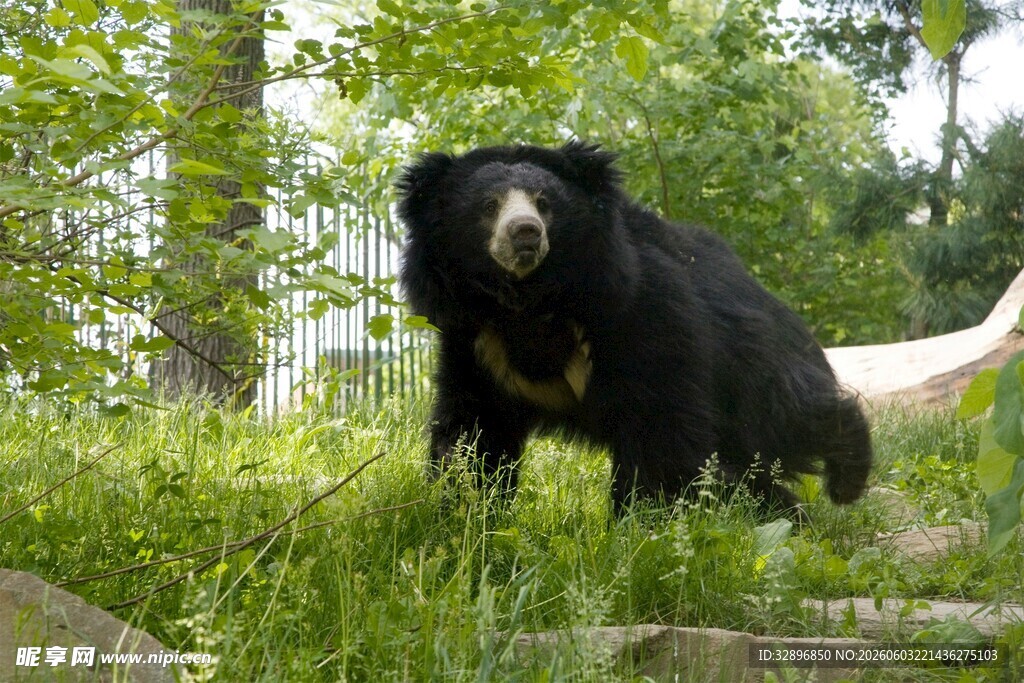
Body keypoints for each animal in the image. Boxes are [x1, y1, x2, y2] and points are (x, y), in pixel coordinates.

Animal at [396, 141, 872, 516]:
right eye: (488, 206)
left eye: (544, 202)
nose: (525, 233)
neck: (530, 303)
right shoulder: (475, 340)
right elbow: (475, 431)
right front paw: (466, 510)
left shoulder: (644, 312)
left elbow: (658, 426)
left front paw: (641, 523)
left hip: (749, 363)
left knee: (783, 419)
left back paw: (844, 478)